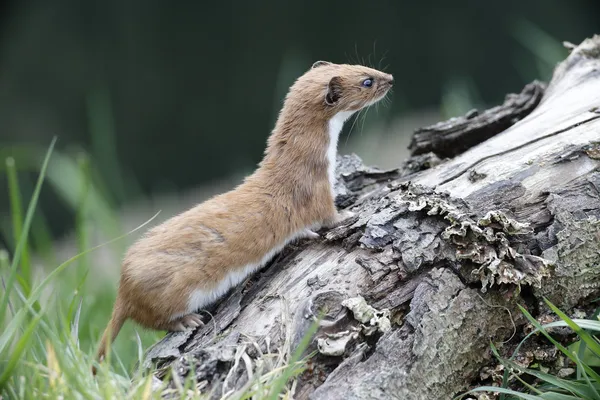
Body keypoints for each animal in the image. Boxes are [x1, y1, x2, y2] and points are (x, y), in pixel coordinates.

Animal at [95, 61, 394, 370]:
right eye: (367, 80)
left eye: (359, 65)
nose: (391, 78)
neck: (319, 163)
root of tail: (123, 283)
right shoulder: (316, 193)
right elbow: (330, 216)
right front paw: (351, 211)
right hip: (171, 291)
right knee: (152, 319)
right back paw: (187, 320)